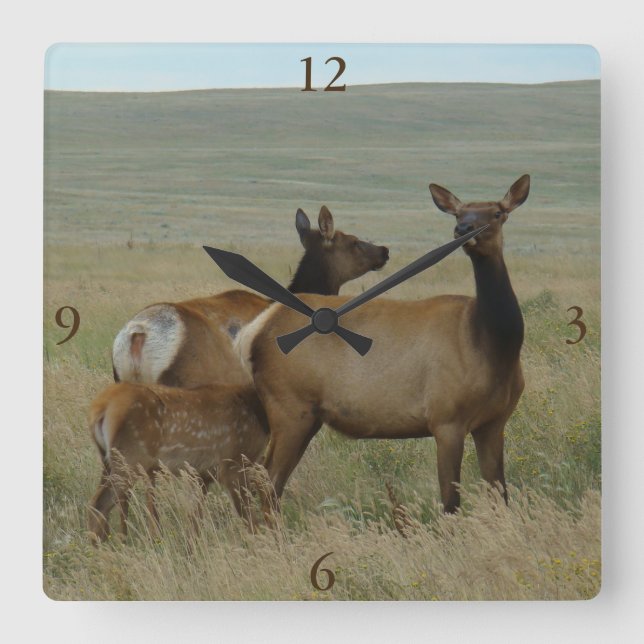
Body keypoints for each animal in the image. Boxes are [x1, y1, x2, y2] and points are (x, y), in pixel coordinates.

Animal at [87, 381, 270, 542]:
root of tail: (101, 407)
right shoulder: (234, 463)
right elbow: (251, 522)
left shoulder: (202, 474)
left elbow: (195, 520)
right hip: (130, 457)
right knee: (99, 503)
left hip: (108, 461)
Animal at [238, 175, 530, 517]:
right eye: (458, 213)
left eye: (497, 212)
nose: (464, 229)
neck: (492, 344)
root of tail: (254, 332)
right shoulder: (446, 418)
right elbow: (450, 502)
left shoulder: (494, 422)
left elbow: (500, 495)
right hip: (289, 404)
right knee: (266, 479)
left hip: (305, 414)